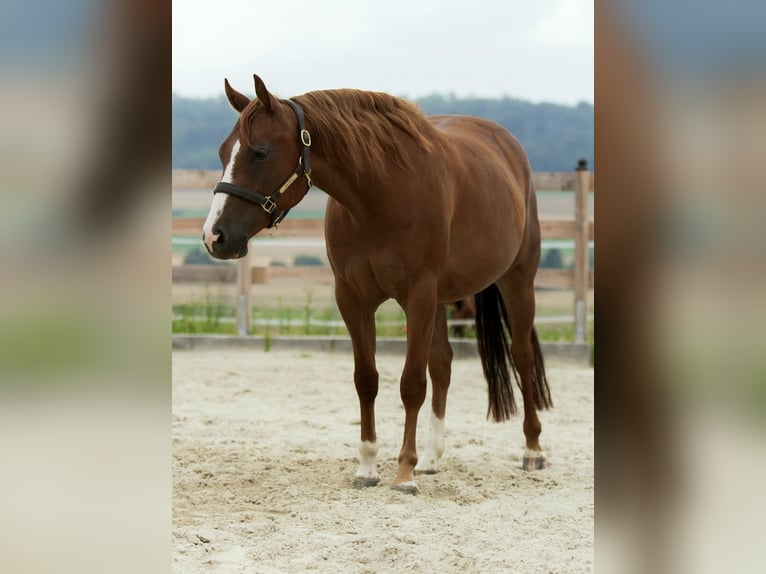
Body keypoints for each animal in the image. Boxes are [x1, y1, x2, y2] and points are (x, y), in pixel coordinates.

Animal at [202, 75, 552, 494]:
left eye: (260, 152)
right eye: (223, 151)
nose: (214, 236)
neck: (379, 196)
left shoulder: (417, 296)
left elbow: (411, 383)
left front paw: (403, 472)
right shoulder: (353, 299)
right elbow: (366, 379)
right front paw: (368, 466)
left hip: (517, 281)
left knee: (522, 356)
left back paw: (532, 450)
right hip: (441, 302)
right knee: (443, 365)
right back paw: (432, 458)